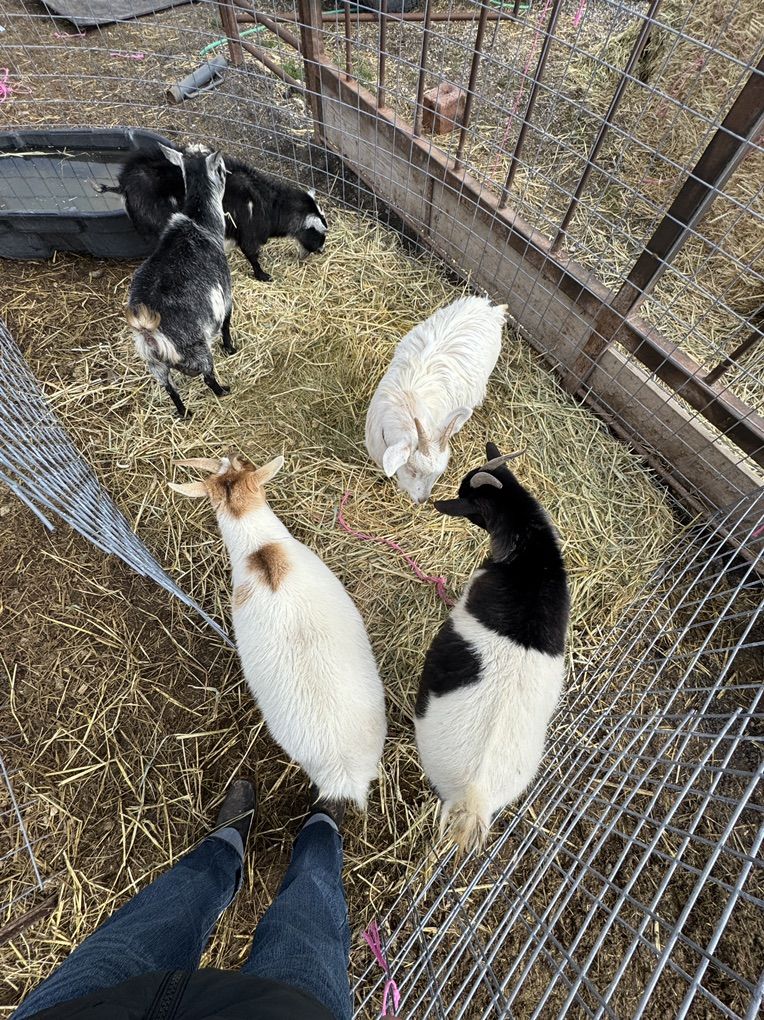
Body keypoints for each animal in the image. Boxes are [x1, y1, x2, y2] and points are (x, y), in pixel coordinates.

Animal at [99, 145, 328, 282]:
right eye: (319, 233)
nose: (321, 251)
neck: (270, 205)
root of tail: (124, 185)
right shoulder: (249, 233)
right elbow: (252, 256)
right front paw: (263, 276)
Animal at [127, 145, 233, 419]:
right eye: (221, 169)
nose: (228, 172)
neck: (200, 222)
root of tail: (148, 330)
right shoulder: (226, 293)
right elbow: (227, 324)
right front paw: (231, 348)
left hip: (154, 365)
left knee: (169, 388)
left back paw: (184, 413)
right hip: (197, 348)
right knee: (207, 376)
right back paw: (223, 390)